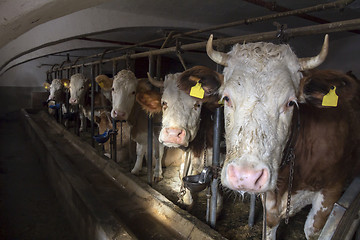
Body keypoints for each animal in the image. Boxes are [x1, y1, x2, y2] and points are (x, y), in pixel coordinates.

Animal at [194, 34, 360, 240]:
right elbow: (270, 226)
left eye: (290, 103)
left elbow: (312, 230)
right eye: (226, 98)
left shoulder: (332, 190)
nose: (246, 177)